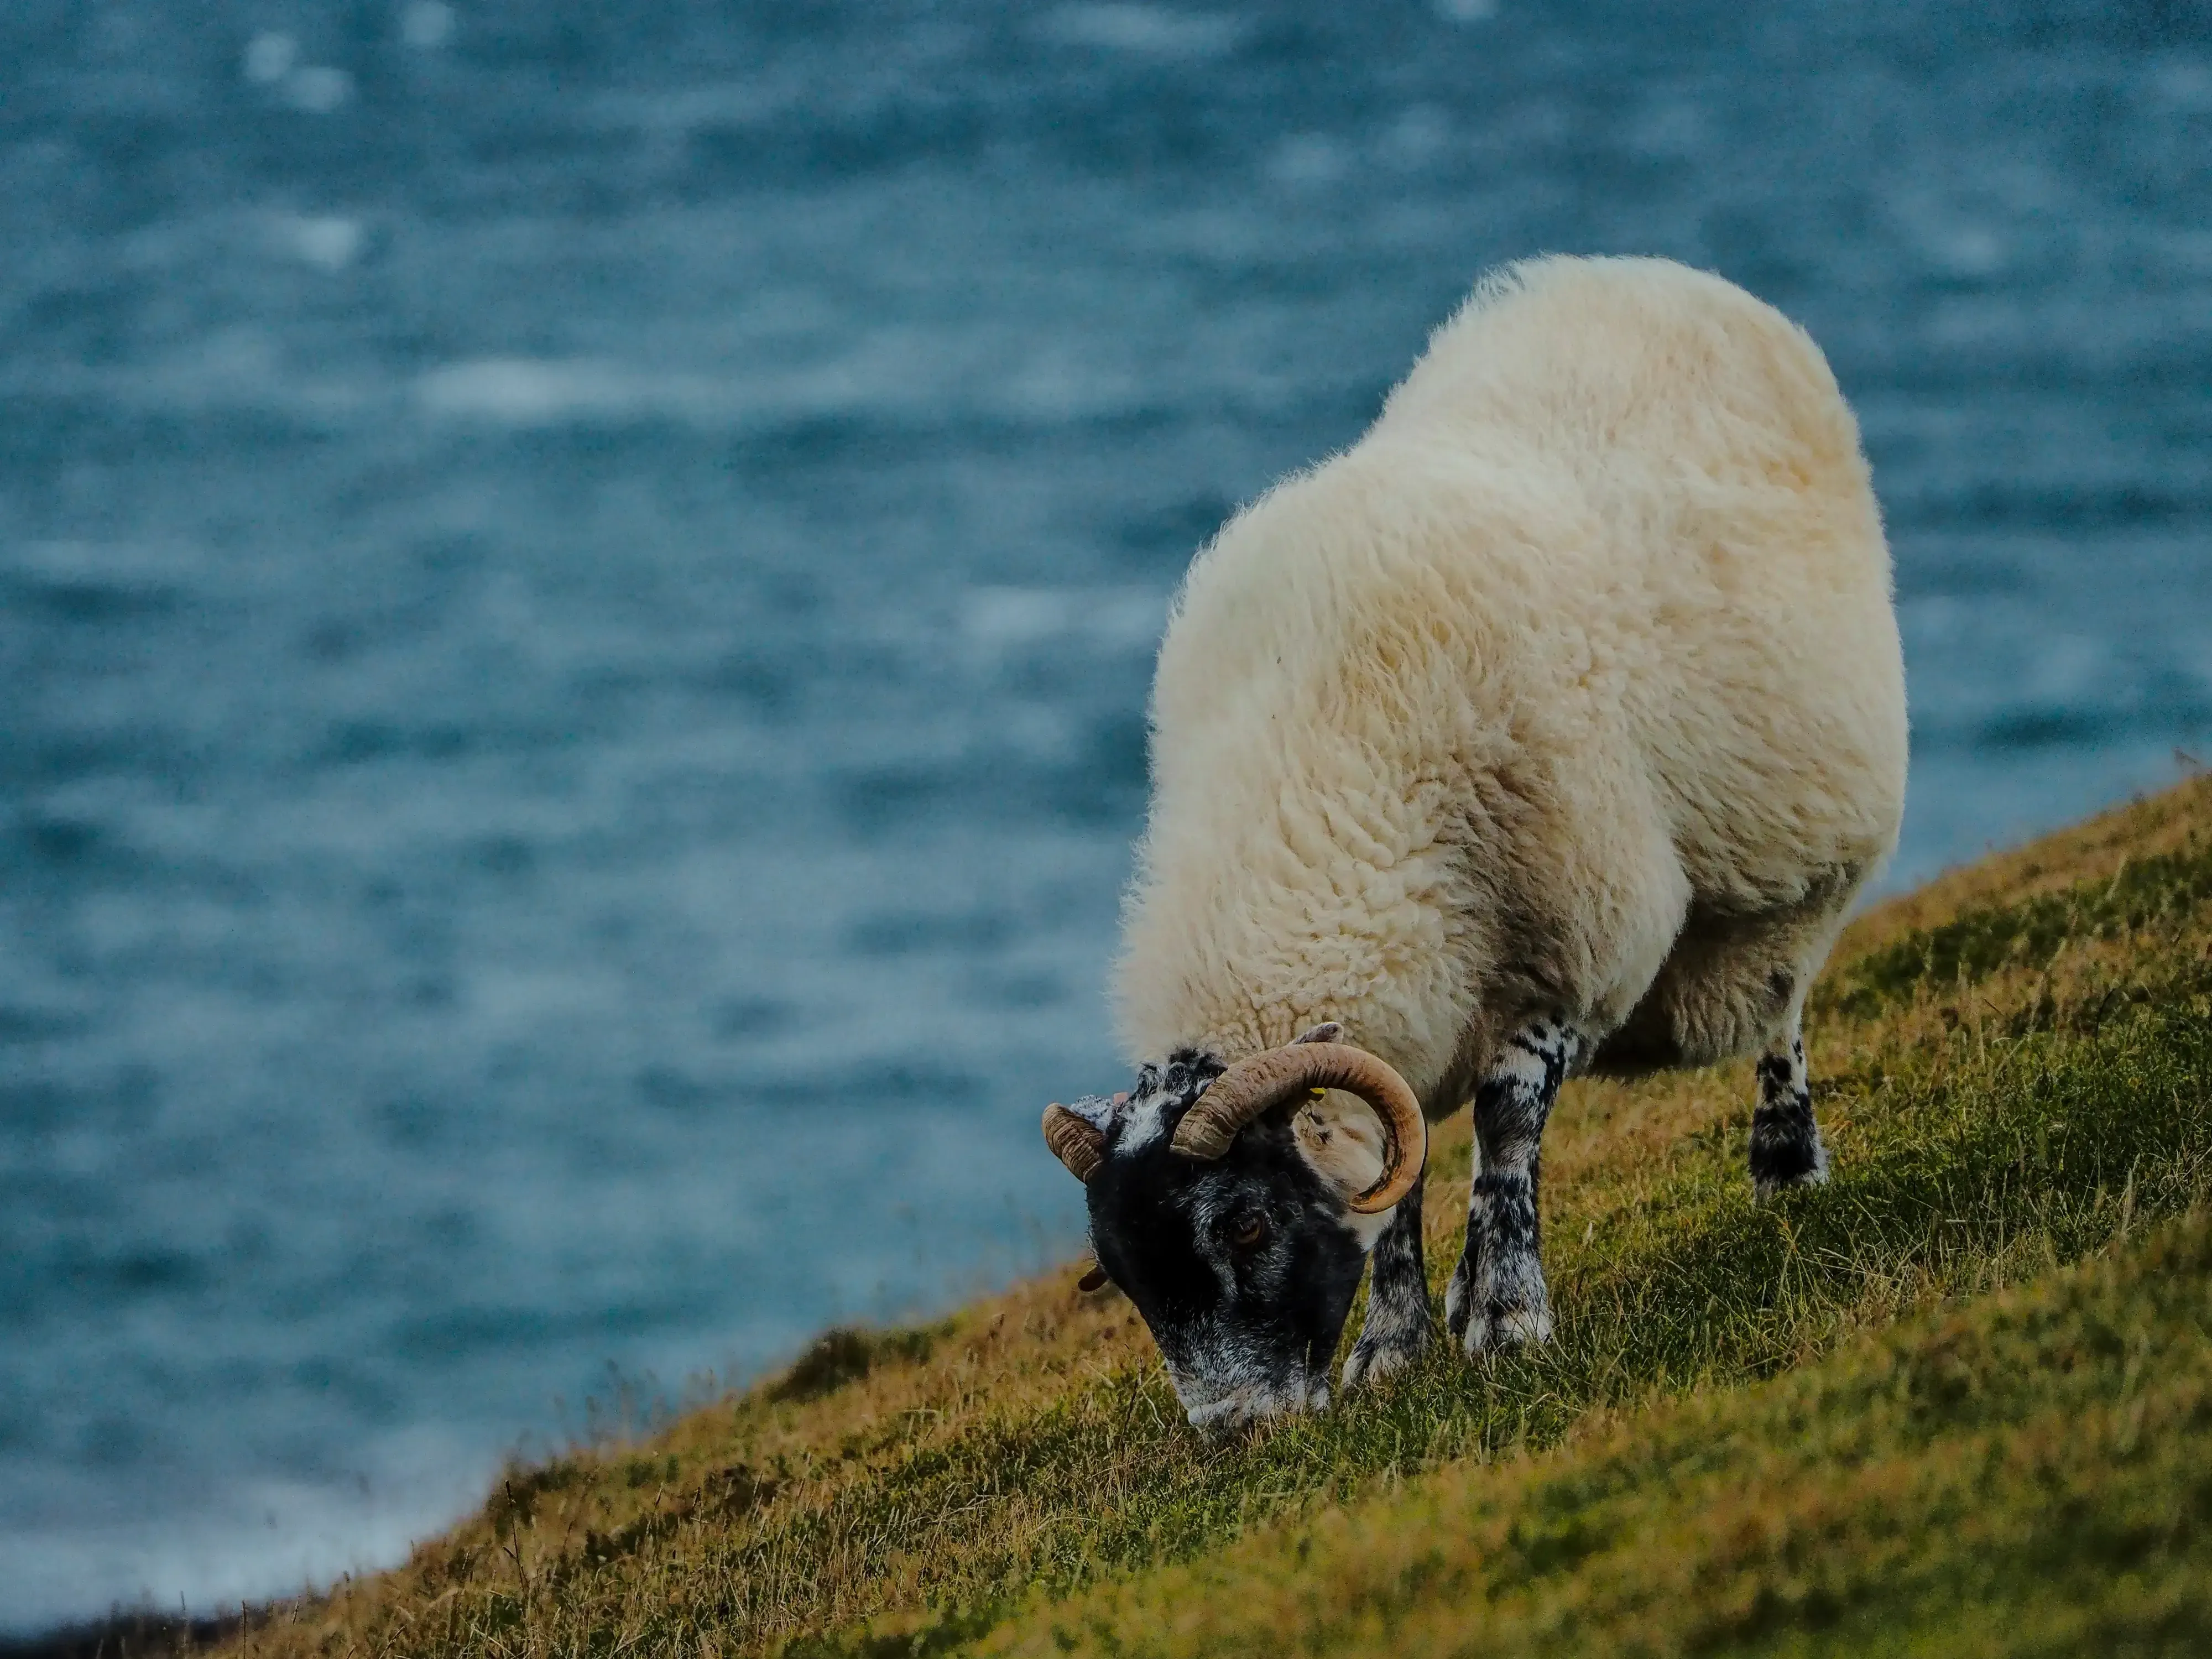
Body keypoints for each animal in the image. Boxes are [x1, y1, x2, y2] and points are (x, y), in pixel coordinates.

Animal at [1042, 255, 1908, 1433]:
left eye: (1249, 1225)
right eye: (1122, 1272)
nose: (1235, 1436)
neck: (1320, 794)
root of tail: (1646, 273)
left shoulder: (1567, 953)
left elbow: (1506, 1137)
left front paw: (1509, 1323)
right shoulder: (1412, 1006)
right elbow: (1399, 1180)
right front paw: (1397, 1346)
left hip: (1791, 865)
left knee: (1782, 1005)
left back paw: (1787, 1161)